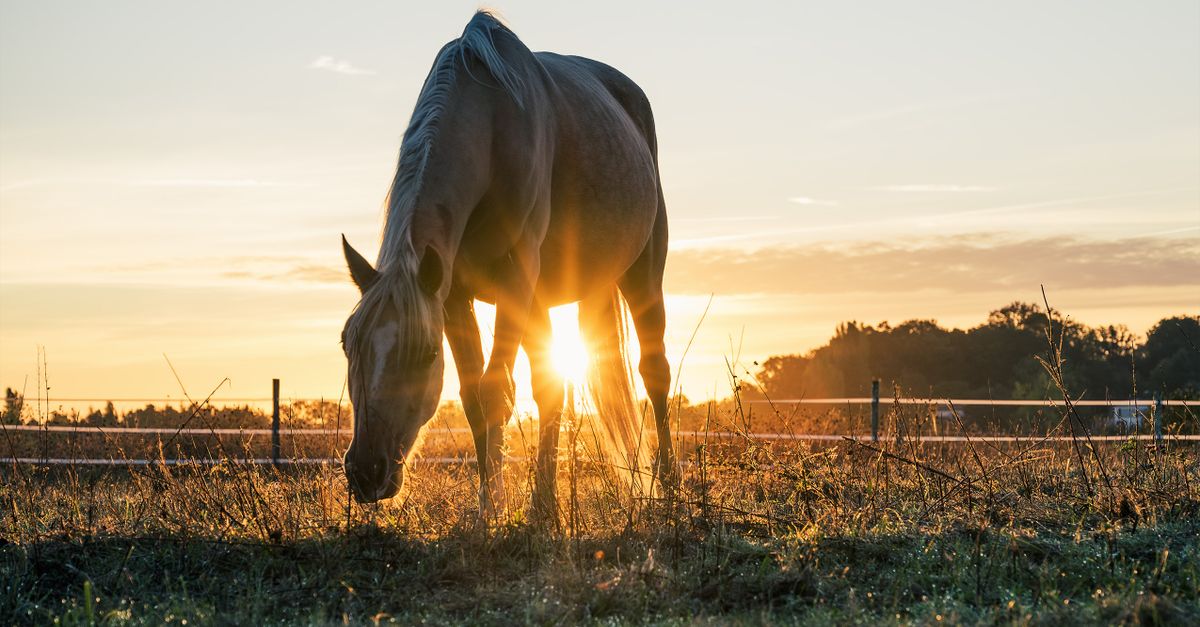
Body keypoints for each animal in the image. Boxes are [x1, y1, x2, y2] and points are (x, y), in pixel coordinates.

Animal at [339, 11, 672, 518]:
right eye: (348, 344)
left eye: (425, 353)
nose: (366, 471)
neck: (491, 127)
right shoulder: (453, 295)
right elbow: (475, 397)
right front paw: (493, 505)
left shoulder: (514, 278)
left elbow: (496, 390)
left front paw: (496, 509)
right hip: (547, 298)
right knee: (553, 384)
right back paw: (546, 502)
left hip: (643, 274)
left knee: (655, 374)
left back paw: (674, 490)